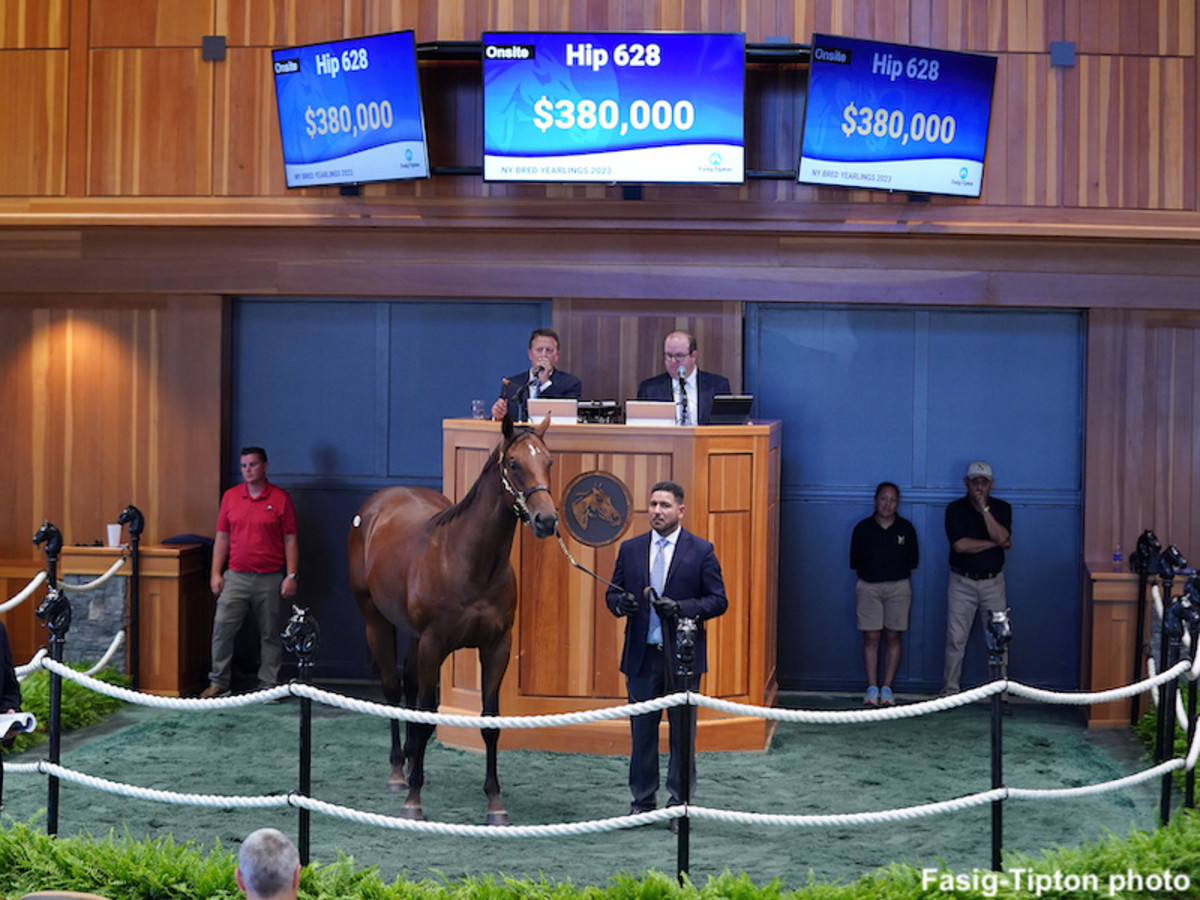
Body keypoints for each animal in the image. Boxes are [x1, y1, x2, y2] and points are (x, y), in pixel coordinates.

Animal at [345, 415, 554, 825]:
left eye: (548, 461)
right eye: (515, 464)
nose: (546, 519)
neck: (469, 561)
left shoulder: (496, 646)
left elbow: (490, 724)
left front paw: (495, 805)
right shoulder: (435, 644)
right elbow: (427, 716)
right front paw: (413, 801)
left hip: (413, 637)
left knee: (409, 683)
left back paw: (413, 762)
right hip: (375, 620)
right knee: (393, 689)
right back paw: (399, 771)